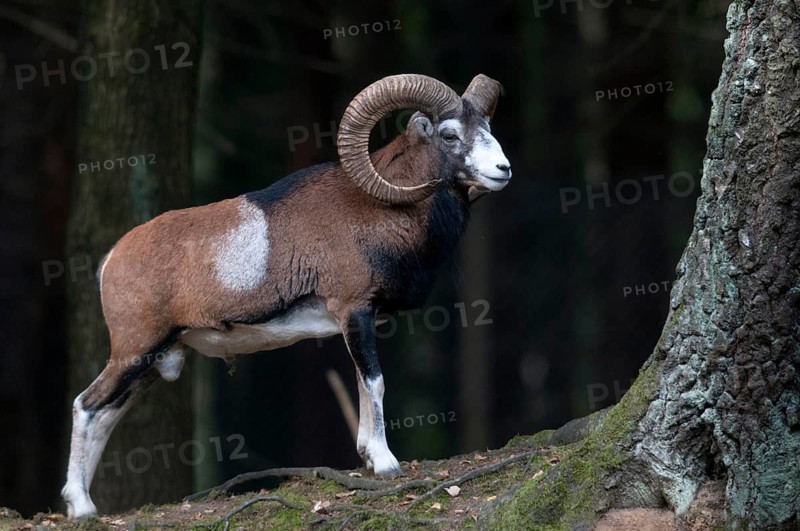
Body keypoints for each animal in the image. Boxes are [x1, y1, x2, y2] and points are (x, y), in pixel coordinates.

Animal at [62, 73, 511, 518]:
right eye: (449, 135)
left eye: (488, 128)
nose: (503, 169)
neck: (380, 211)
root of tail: (112, 260)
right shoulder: (356, 312)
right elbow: (376, 382)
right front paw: (386, 465)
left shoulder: (355, 323)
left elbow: (361, 384)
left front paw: (368, 457)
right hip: (134, 351)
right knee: (86, 405)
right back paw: (81, 508)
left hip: (153, 361)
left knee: (104, 415)